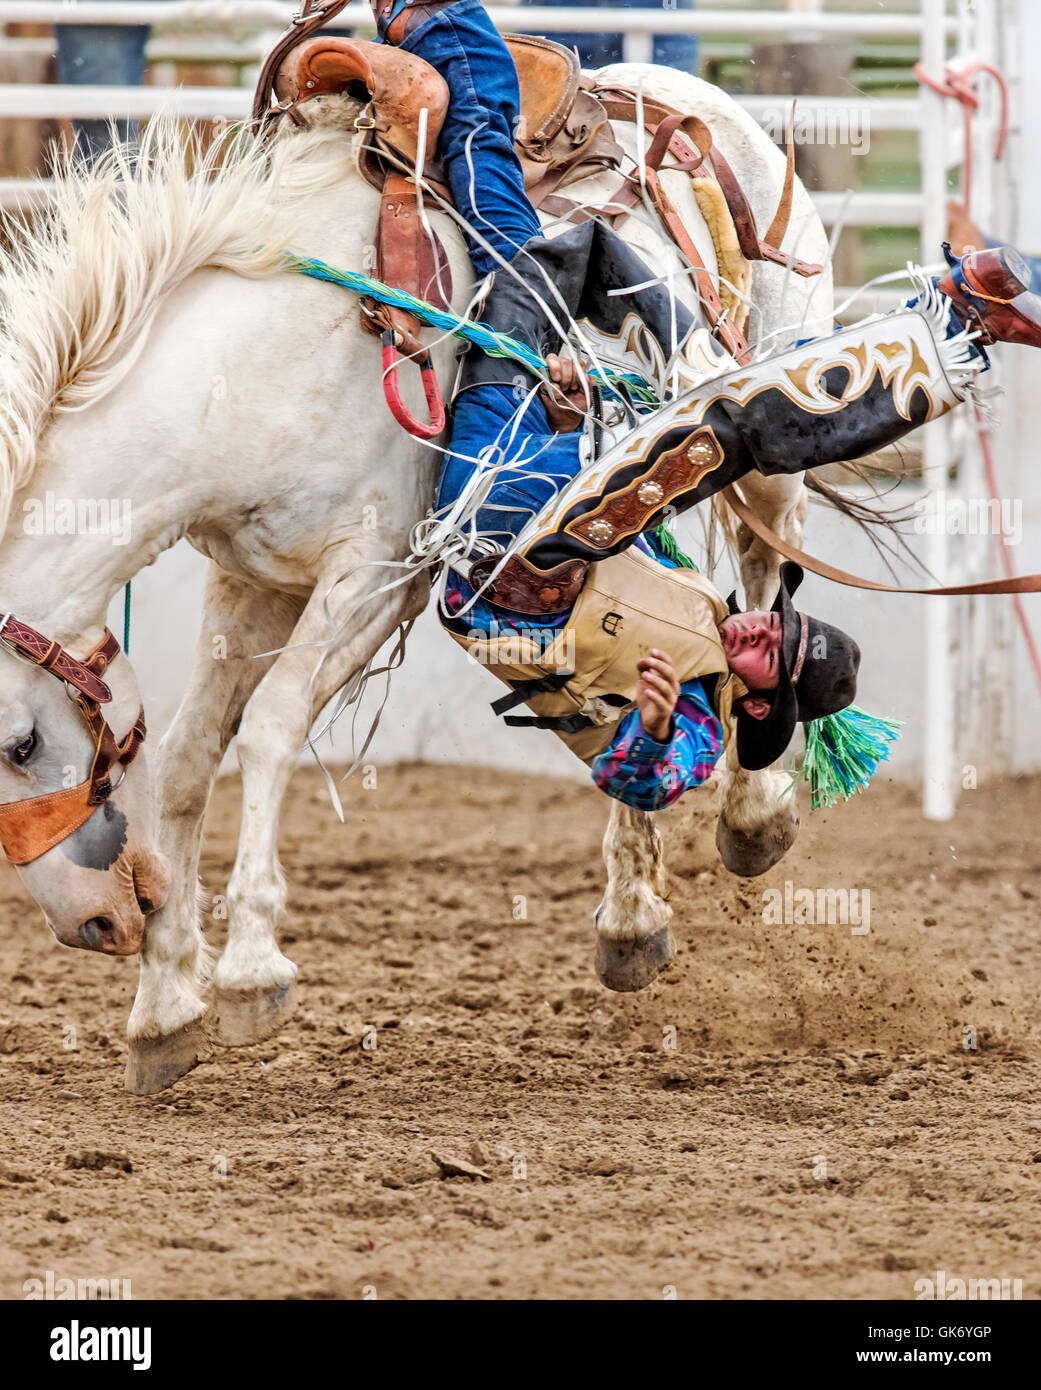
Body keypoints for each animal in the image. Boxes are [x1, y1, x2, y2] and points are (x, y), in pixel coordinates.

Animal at [0, 62, 832, 1092]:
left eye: (22, 744)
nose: (88, 923)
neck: (249, 374)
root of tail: (685, 89)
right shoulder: (251, 584)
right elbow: (190, 759)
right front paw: (163, 1006)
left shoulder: (372, 577)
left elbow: (270, 726)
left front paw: (249, 971)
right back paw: (630, 920)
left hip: (765, 456)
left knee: (762, 582)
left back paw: (752, 817)